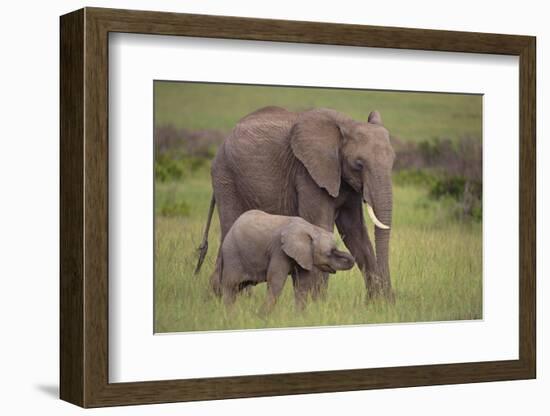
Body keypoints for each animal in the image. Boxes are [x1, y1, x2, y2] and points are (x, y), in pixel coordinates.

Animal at [216, 210, 354, 308]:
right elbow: (276, 282)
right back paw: (230, 315)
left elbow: (302, 284)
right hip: (232, 255)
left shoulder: (304, 256)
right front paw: (262, 317)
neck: (311, 228)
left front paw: (299, 318)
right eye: (329, 253)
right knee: (230, 287)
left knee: (237, 288)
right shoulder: (279, 250)